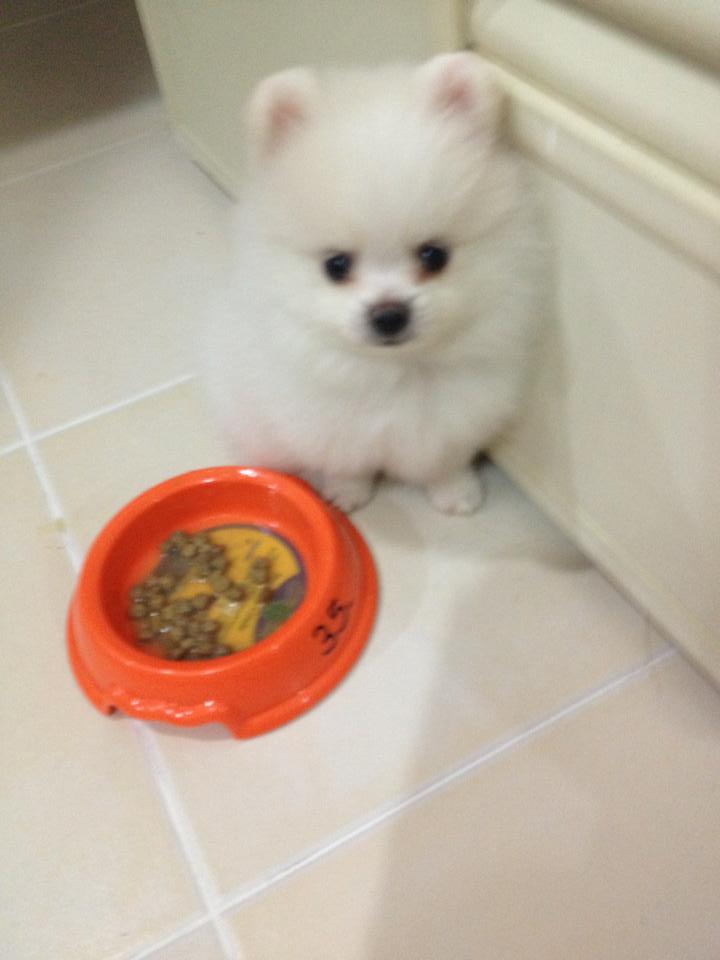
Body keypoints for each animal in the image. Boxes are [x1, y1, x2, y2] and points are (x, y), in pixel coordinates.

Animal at [202, 52, 539, 513]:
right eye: (336, 265)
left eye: (434, 256)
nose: (389, 314)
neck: (395, 371)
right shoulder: (329, 422)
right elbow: (348, 460)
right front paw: (346, 492)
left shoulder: (456, 414)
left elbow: (444, 457)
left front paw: (456, 491)